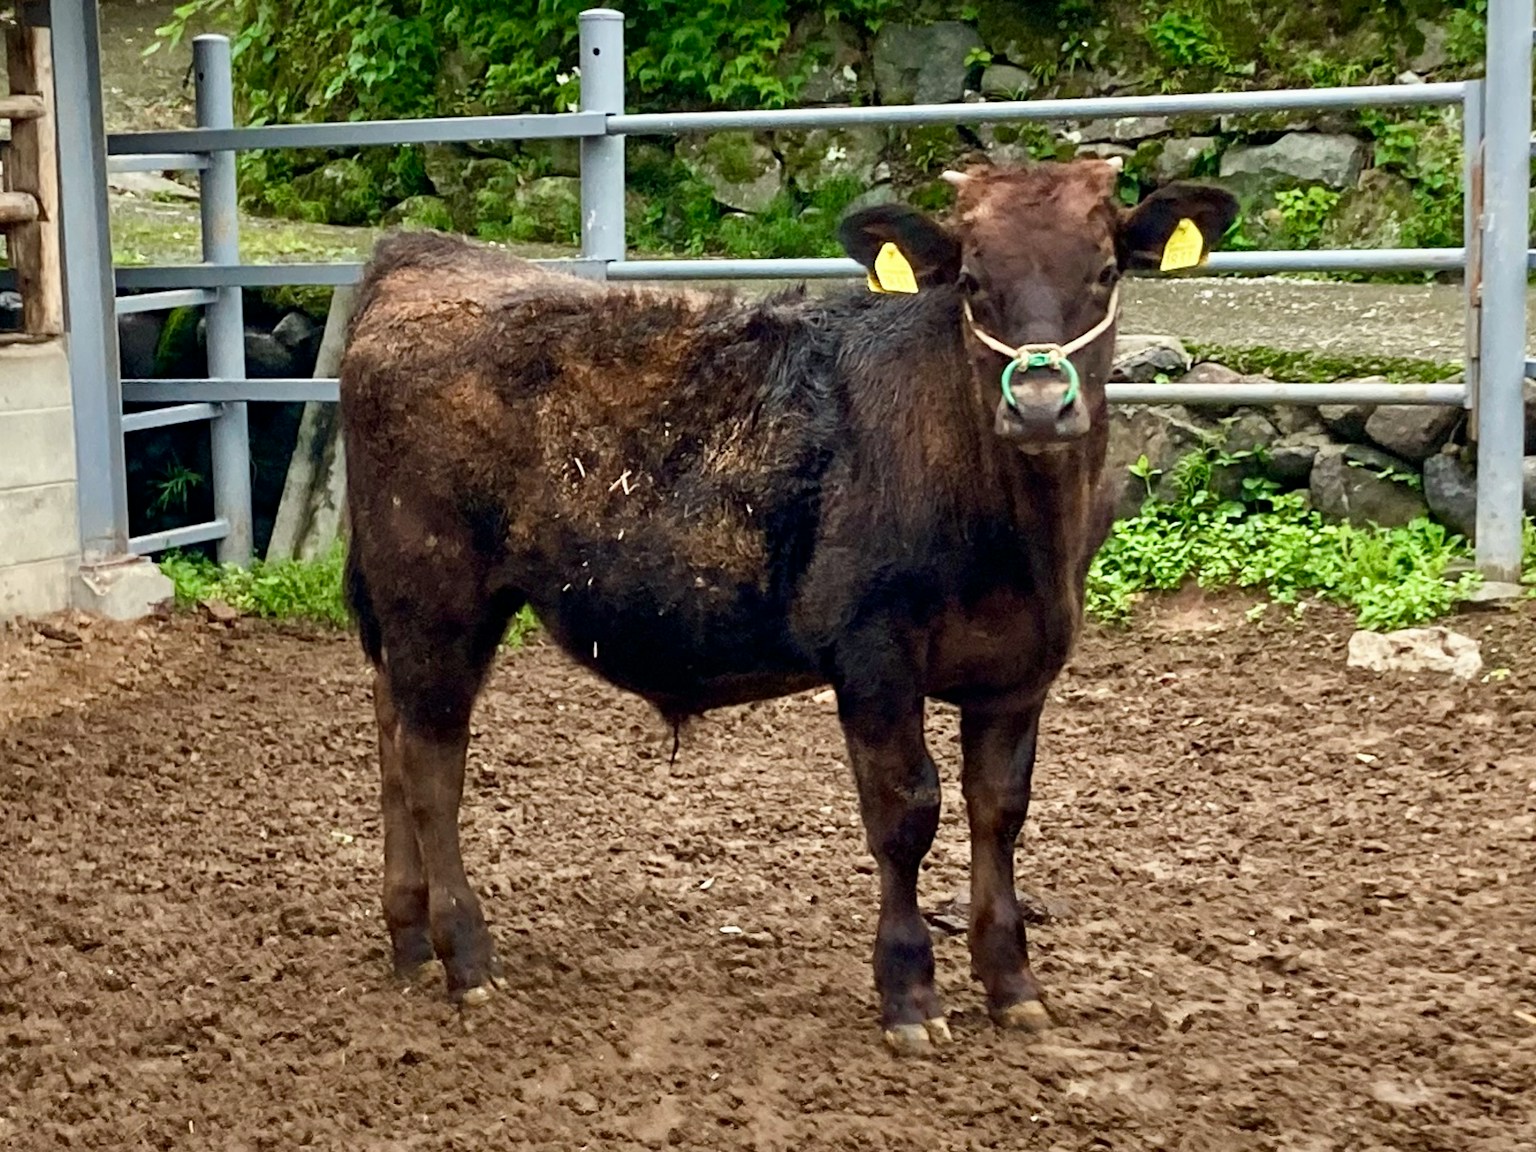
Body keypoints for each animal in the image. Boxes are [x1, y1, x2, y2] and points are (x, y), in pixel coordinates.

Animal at [337, 157, 1239, 1053]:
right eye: (972, 282)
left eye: (1106, 271)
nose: (1042, 402)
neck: (1015, 534)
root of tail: (428, 256)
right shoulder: (874, 650)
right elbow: (905, 810)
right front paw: (910, 994)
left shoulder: (1023, 667)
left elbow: (999, 811)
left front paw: (1013, 983)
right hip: (436, 592)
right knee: (431, 764)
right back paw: (466, 956)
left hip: (414, 610)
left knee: (391, 733)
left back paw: (410, 936)